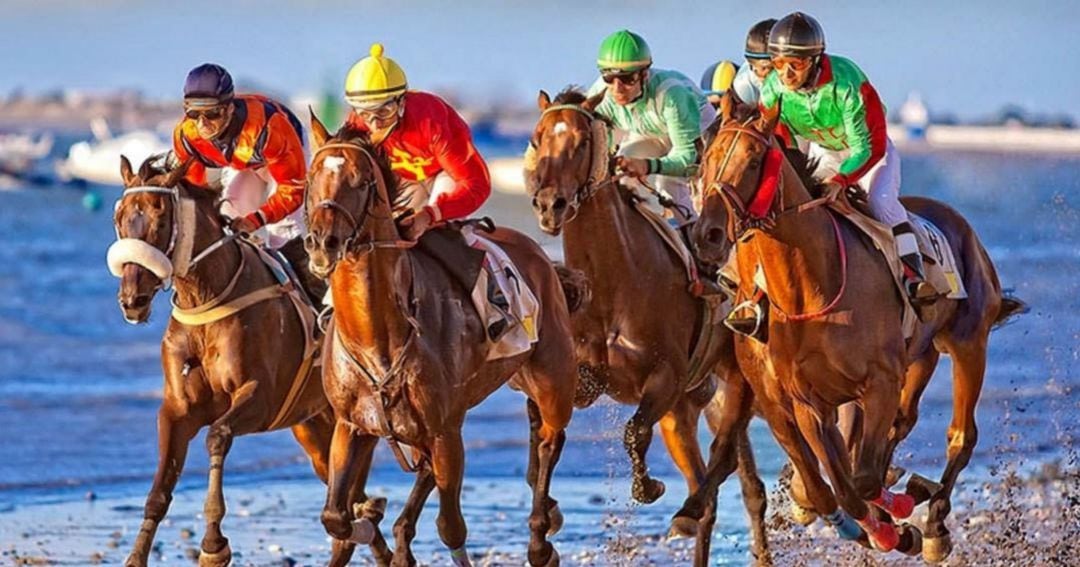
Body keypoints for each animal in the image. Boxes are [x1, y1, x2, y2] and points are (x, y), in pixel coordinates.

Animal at [108, 154, 388, 565]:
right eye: (119, 217)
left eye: (160, 217)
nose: (133, 300)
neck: (207, 299)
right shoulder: (177, 409)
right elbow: (159, 491)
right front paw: (136, 556)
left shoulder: (261, 398)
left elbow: (217, 436)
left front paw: (213, 544)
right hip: (314, 428)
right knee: (350, 501)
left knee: (352, 502)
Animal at [304, 111, 583, 565]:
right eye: (312, 178)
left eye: (361, 181)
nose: (323, 243)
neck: (376, 335)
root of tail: (540, 254)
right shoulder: (352, 425)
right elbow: (335, 515)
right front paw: (368, 518)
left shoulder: (446, 432)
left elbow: (451, 527)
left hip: (553, 378)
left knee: (548, 441)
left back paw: (542, 536)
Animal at [524, 88, 768, 561]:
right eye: (537, 138)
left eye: (582, 141)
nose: (549, 205)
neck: (613, 282)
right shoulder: (579, 379)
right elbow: (548, 435)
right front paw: (545, 529)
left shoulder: (667, 377)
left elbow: (634, 431)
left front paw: (648, 486)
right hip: (683, 411)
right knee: (706, 485)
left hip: (734, 378)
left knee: (724, 462)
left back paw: (689, 511)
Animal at [678, 95, 1023, 557]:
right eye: (708, 158)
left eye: (752, 160)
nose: (708, 234)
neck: (810, 289)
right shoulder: (805, 401)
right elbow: (838, 484)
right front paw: (881, 524)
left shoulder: (878, 382)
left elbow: (862, 480)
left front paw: (897, 521)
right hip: (920, 356)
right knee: (898, 427)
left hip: (968, 343)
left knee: (960, 435)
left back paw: (933, 526)